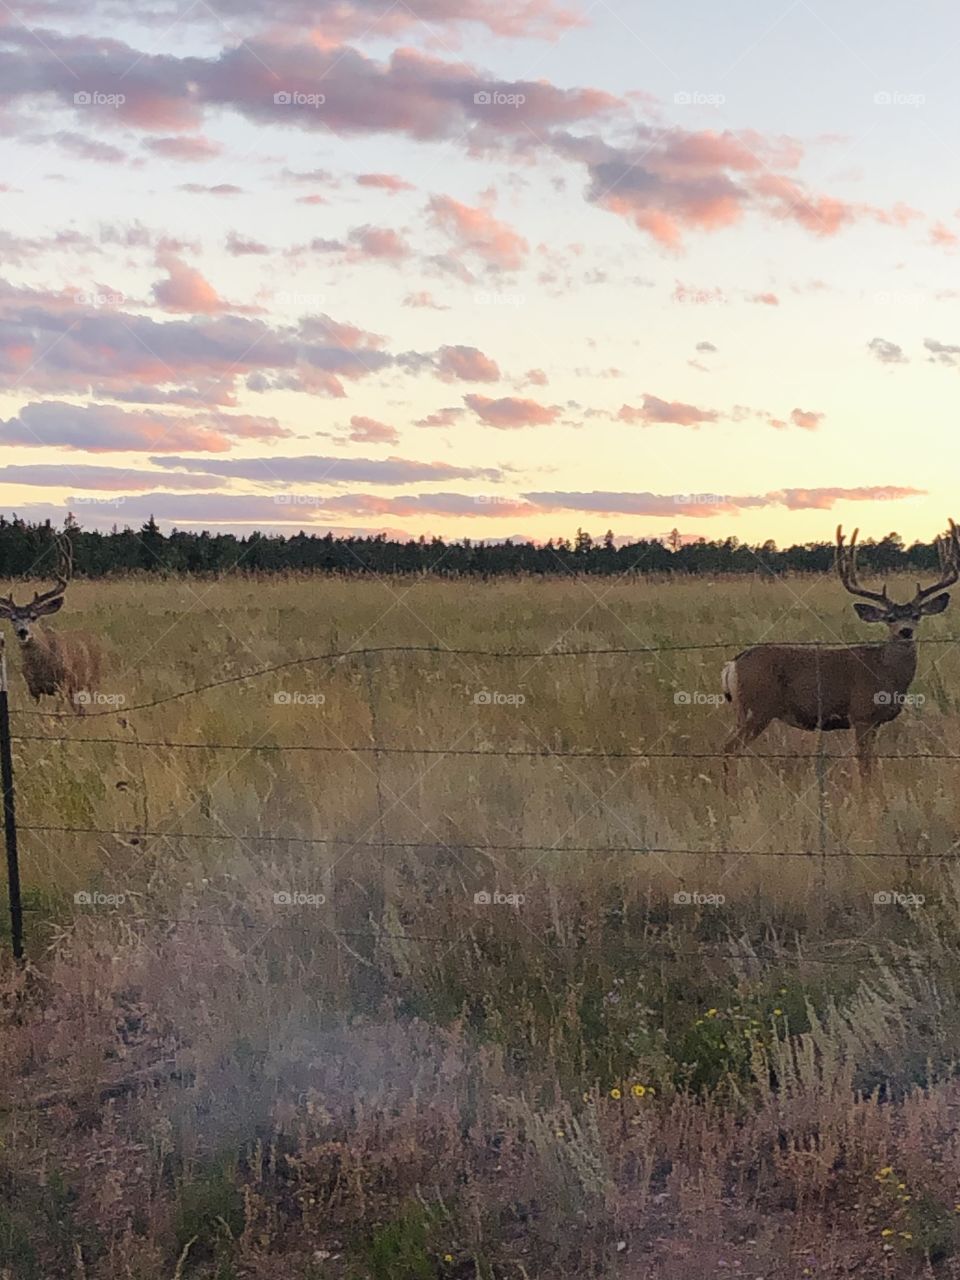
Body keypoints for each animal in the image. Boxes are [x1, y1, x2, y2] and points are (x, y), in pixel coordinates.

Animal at [0, 529, 101, 711]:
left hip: (93, 679)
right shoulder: (33, 688)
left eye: (33, 617)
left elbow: (57, 713)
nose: (23, 632)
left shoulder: (63, 684)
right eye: (12, 618)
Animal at [721, 519, 960, 778]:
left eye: (916, 616)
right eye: (890, 618)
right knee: (729, 748)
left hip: (743, 710)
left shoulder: (875, 722)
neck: (884, 673)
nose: (905, 631)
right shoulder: (861, 715)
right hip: (759, 707)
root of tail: (733, 664)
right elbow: (864, 766)